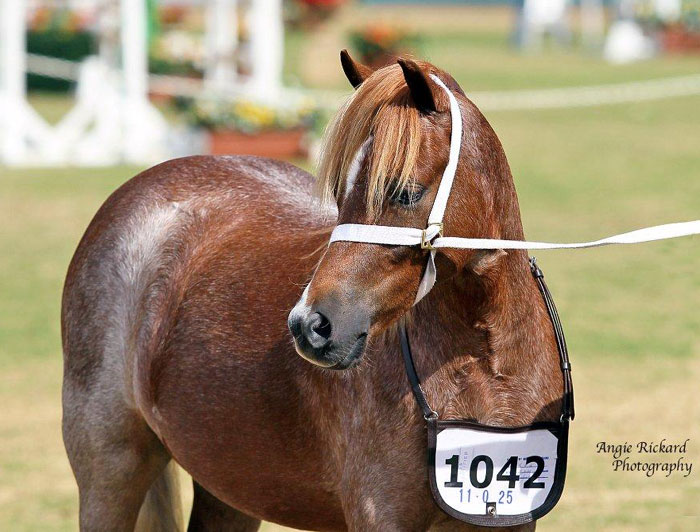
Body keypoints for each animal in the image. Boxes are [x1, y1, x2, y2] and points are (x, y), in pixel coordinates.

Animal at [62, 51, 565, 531]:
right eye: (340, 193)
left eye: (403, 192)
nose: (310, 325)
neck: (485, 368)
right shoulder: (380, 517)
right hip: (111, 471)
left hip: (231, 487)